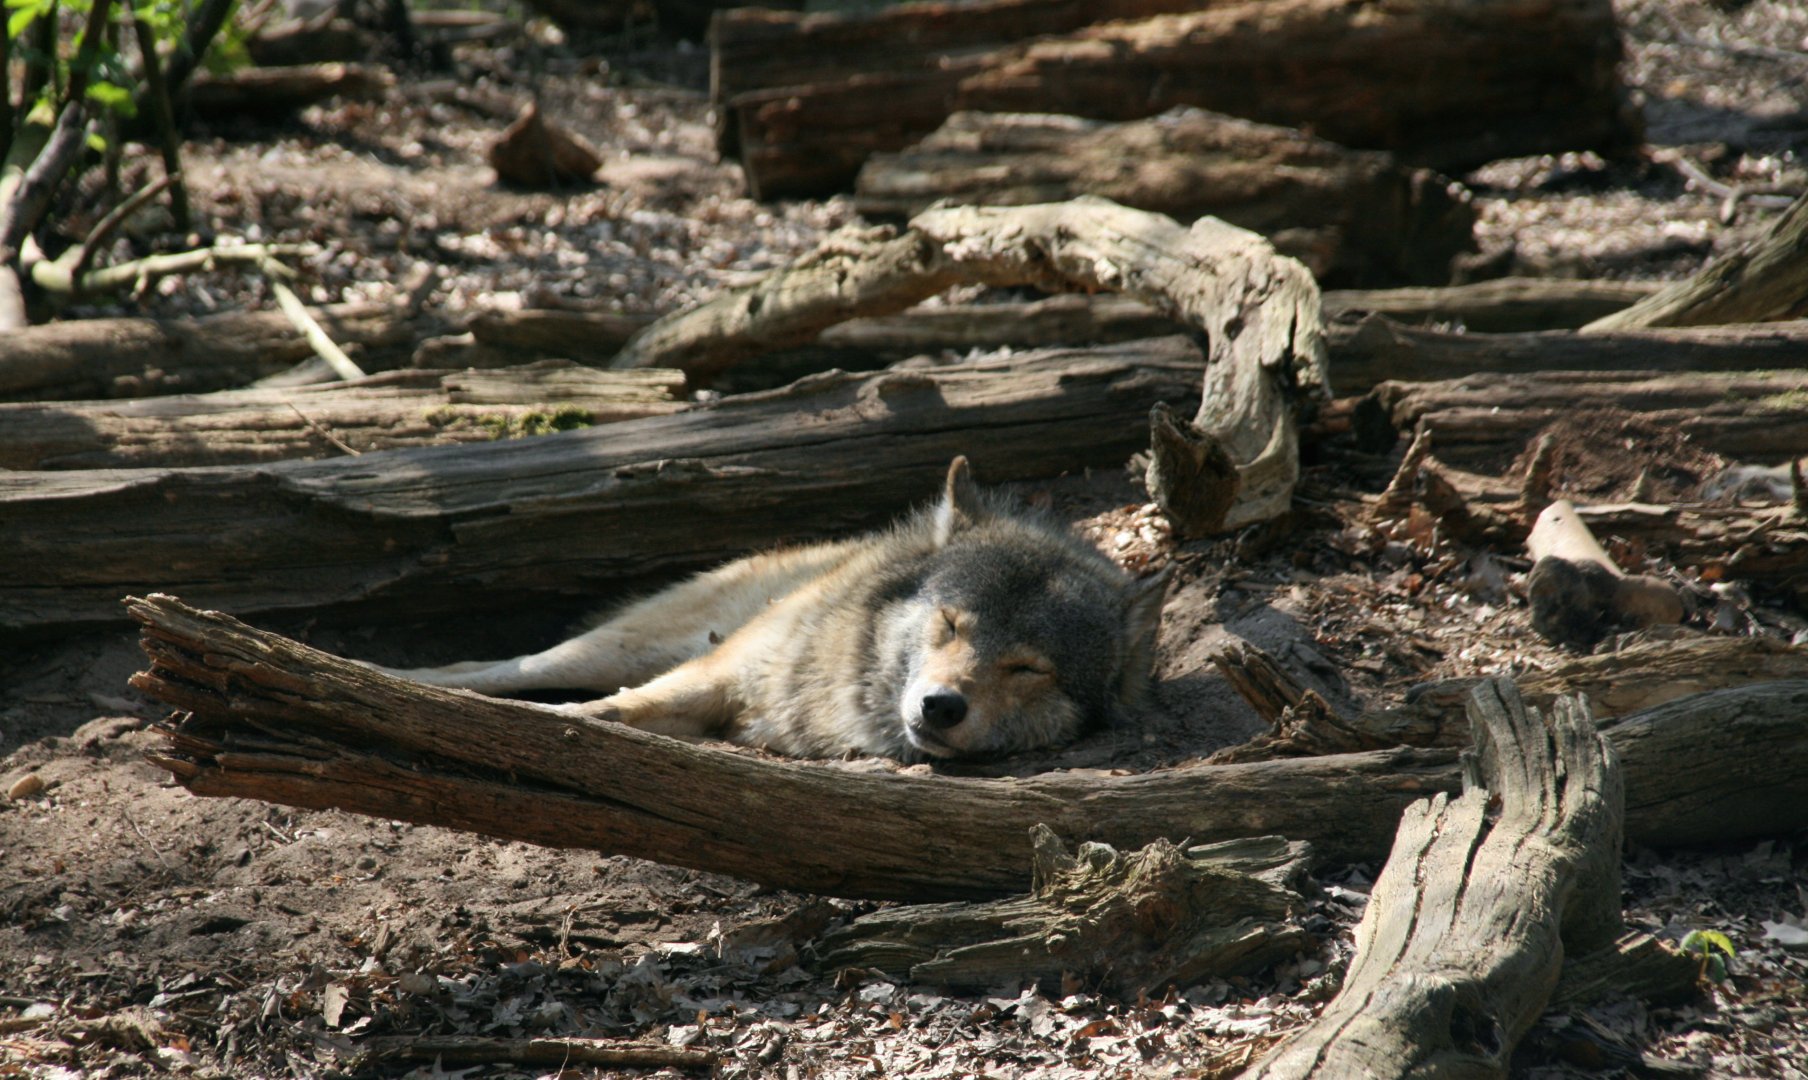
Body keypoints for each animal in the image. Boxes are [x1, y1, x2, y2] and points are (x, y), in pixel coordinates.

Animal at [379, 458, 1168, 761]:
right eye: (951, 625)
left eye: (1028, 669)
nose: (942, 706)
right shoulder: (718, 675)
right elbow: (606, 711)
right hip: (624, 647)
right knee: (507, 667)